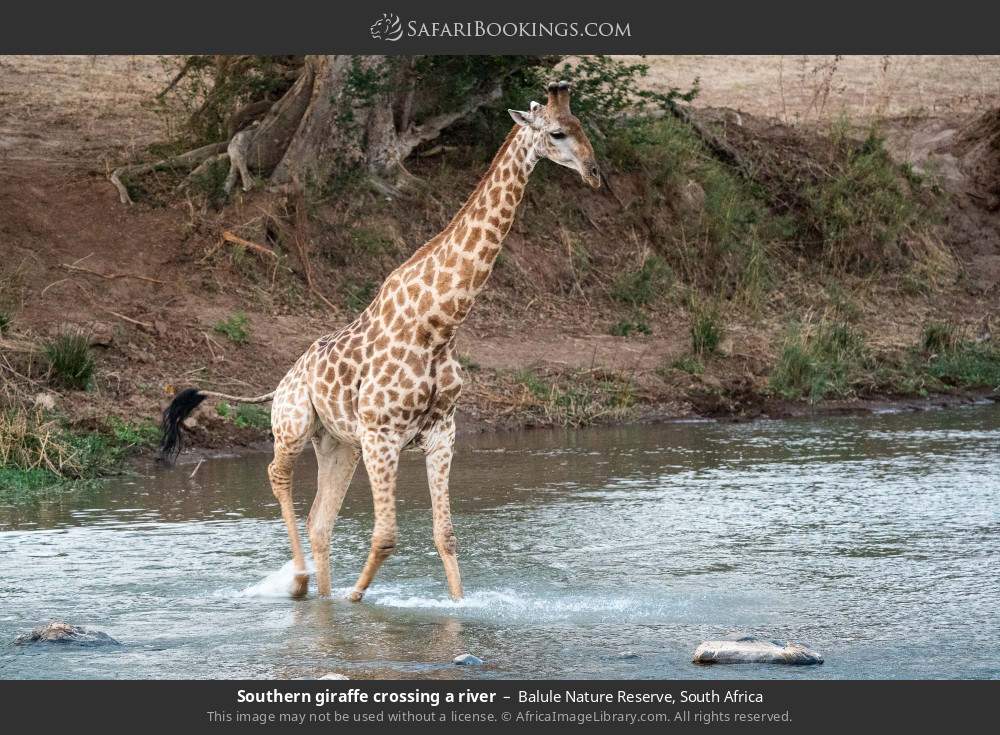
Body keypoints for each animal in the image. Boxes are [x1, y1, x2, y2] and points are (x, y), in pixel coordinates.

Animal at [160, 81, 600, 601]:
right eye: (556, 133)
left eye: (583, 126)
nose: (594, 173)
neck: (439, 324)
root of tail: (281, 382)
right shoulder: (382, 434)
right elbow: (387, 536)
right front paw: (356, 602)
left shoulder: (441, 433)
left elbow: (445, 535)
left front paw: (454, 608)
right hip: (295, 426)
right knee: (278, 478)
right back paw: (301, 580)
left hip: (338, 445)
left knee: (320, 521)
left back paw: (322, 596)